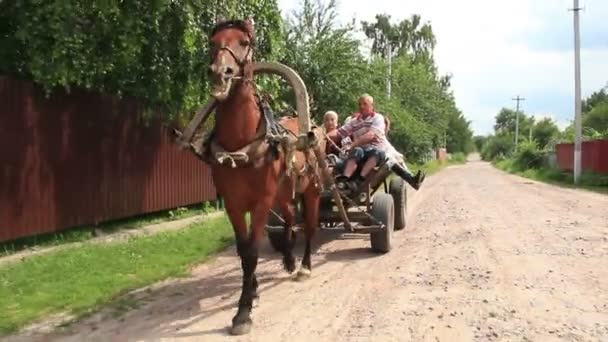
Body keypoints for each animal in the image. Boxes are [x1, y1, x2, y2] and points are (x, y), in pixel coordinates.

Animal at [205, 18, 326, 334]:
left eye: (244, 42)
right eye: (212, 43)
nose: (220, 72)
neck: (240, 146)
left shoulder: (261, 202)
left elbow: (251, 252)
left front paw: (243, 312)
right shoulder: (233, 204)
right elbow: (242, 249)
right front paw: (253, 290)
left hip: (311, 190)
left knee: (309, 226)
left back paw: (304, 265)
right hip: (283, 194)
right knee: (290, 219)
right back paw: (288, 258)